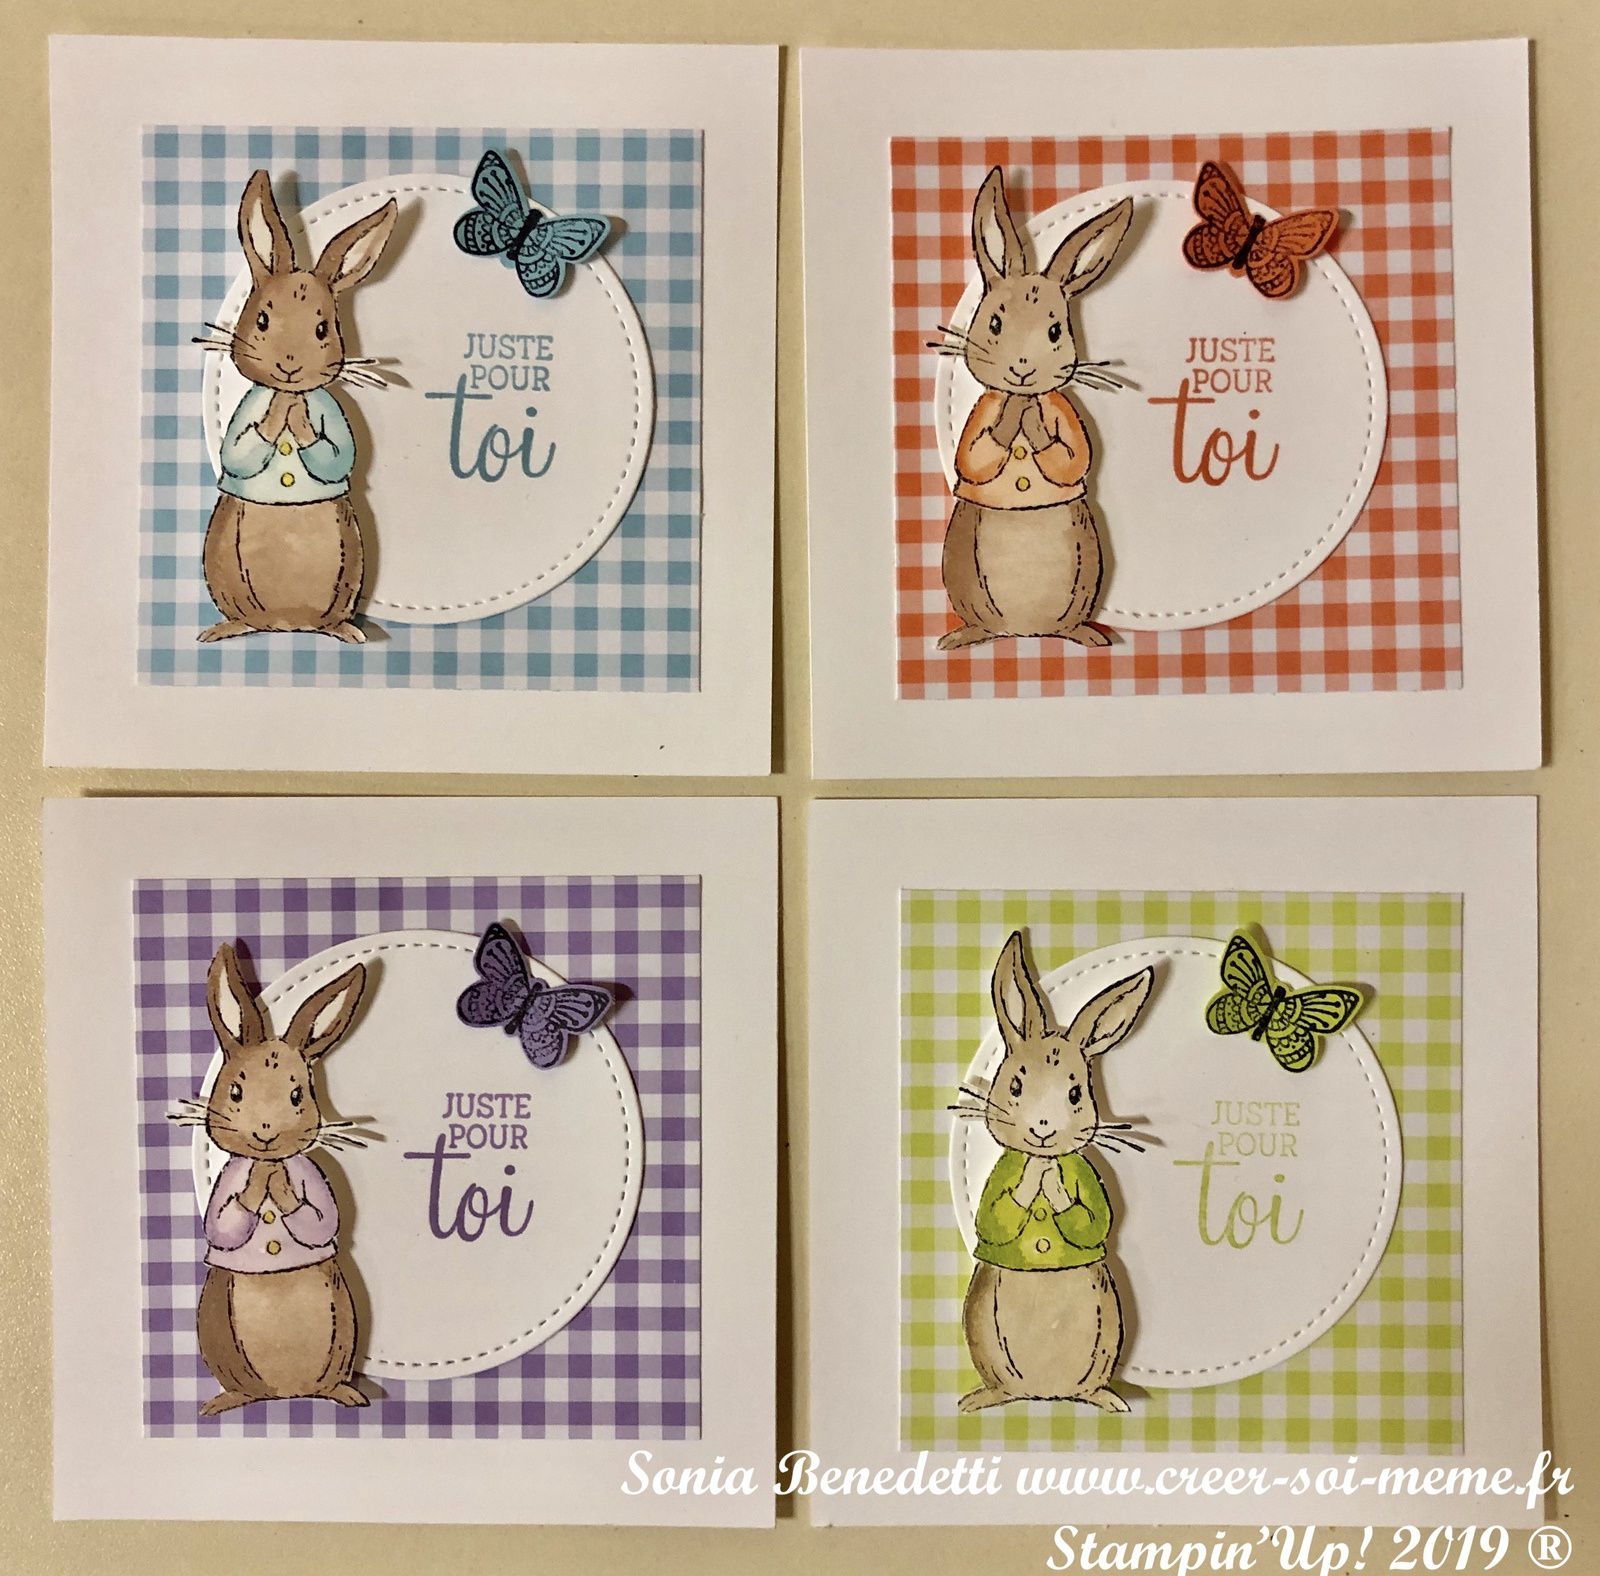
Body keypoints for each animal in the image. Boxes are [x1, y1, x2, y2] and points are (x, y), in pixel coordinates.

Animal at [181, 943, 371, 1415]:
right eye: (235, 1092)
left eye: (297, 1095)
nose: (266, 1133)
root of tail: (288, 1392)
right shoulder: (229, 1180)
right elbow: (221, 1223)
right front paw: (259, 1186)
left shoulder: (310, 1173)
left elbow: (323, 1218)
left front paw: (279, 1187)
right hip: (218, 1327)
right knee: (246, 1387)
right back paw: (226, 1401)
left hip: (343, 1326)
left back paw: (346, 1393)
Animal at [196, 171, 397, 644]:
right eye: (263, 320)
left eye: (323, 329)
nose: (289, 366)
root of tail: (287, 622)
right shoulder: (248, 410)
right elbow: (237, 450)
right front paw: (280, 415)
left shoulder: (332, 414)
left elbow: (339, 454)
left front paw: (298, 418)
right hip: (221, 558)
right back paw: (227, 627)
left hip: (351, 560)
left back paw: (346, 630)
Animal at [936, 169, 1134, 651]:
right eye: (994, 323)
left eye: (1055, 331)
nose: (1022, 369)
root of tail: (1026, 630)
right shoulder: (983, 411)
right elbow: (973, 457)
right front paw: (1016, 417)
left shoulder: (1063, 408)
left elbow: (1074, 457)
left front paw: (1032, 420)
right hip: (961, 566)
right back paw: (965, 636)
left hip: (1087, 565)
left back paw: (1087, 635)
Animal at [955, 932, 1153, 1414]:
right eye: (1016, 1085)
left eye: (1076, 1094)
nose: (1043, 1128)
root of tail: (1046, 1393)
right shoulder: (1000, 1179)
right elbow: (992, 1217)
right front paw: (1036, 1180)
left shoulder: (1087, 1179)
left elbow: (1095, 1219)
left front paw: (1054, 1185)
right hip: (983, 1328)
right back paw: (981, 1399)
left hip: (1108, 1328)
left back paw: (1108, 1399)